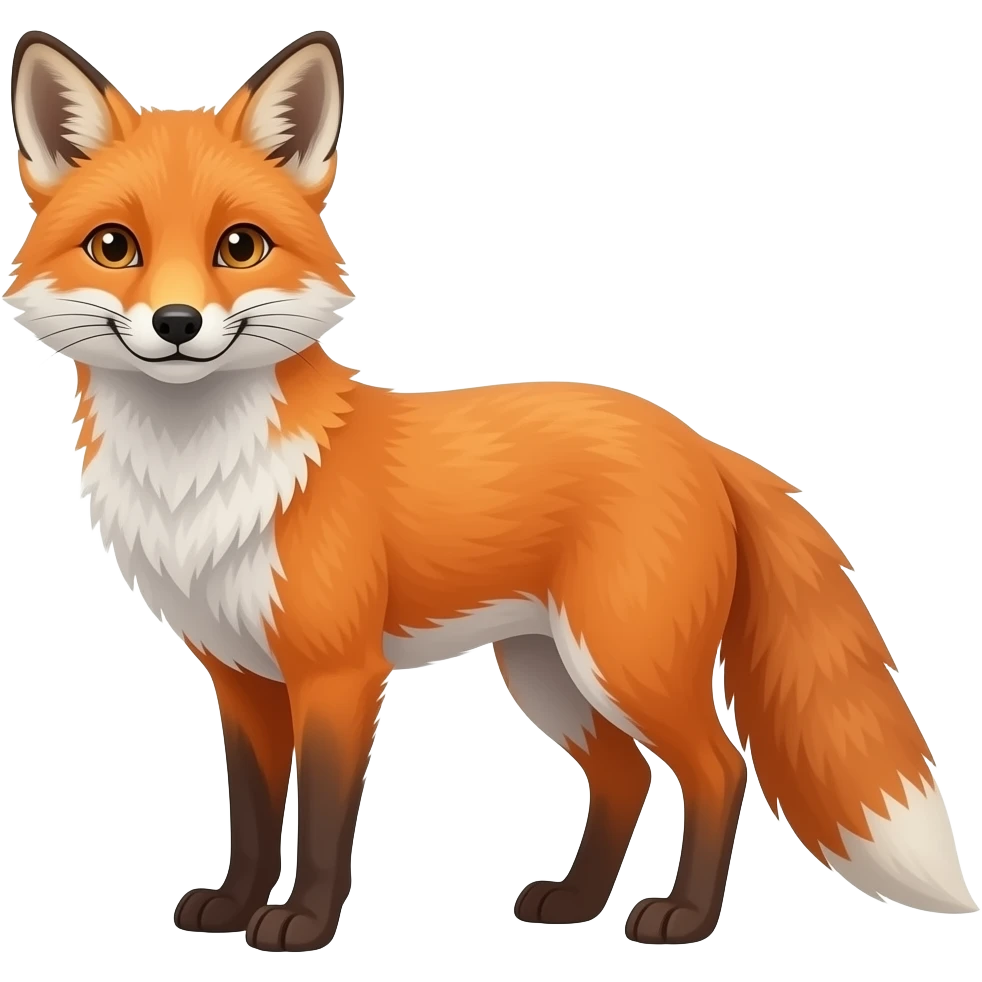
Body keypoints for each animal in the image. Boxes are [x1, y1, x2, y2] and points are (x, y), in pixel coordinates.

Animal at [5, 27, 977, 953]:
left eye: (238, 247)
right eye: (114, 247)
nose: (177, 325)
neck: (200, 478)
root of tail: (699, 442)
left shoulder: (337, 673)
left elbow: (322, 821)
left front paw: (303, 925)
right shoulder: (239, 676)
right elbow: (250, 816)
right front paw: (235, 907)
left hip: (623, 662)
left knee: (718, 768)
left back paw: (684, 919)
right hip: (549, 672)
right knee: (625, 775)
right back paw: (577, 903)